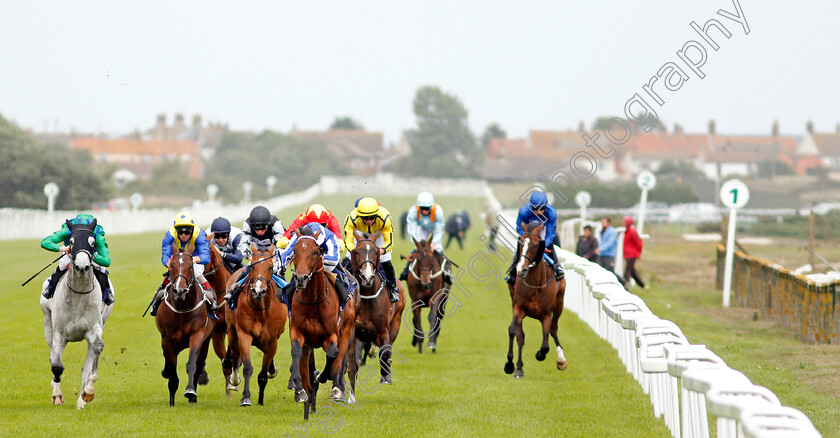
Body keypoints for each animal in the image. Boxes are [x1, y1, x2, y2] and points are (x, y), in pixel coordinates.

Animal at [157, 248, 210, 406]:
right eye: (172, 266)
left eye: (191, 266)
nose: (180, 291)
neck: (182, 306)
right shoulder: (167, 340)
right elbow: (172, 369)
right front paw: (171, 401)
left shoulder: (197, 334)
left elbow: (192, 364)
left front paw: (190, 391)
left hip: (206, 342)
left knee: (199, 365)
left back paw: (193, 397)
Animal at [223, 243, 288, 408]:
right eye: (252, 266)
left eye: (271, 267)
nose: (258, 291)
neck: (261, 310)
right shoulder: (244, 334)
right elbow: (247, 367)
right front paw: (246, 398)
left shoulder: (272, 341)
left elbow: (263, 375)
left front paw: (260, 400)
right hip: (232, 331)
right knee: (234, 354)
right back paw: (232, 377)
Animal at [288, 233, 356, 420]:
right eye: (295, 251)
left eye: (314, 252)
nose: (301, 278)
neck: (313, 301)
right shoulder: (298, 333)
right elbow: (296, 352)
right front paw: (300, 392)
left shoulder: (331, 335)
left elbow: (332, 355)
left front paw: (321, 376)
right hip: (309, 347)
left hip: (347, 331)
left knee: (339, 359)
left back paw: (336, 389)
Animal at [344, 229, 404, 394]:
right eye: (357, 252)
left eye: (376, 253)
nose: (367, 277)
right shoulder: (354, 333)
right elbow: (353, 365)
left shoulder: (383, 330)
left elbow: (384, 353)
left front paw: (385, 374)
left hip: (396, 323)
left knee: (388, 349)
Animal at [502, 221, 568, 378]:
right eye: (520, 241)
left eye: (537, 244)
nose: (521, 269)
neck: (534, 284)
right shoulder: (518, 308)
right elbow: (513, 331)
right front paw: (509, 365)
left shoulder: (546, 314)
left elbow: (545, 345)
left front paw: (540, 354)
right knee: (521, 336)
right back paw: (519, 368)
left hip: (559, 304)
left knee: (554, 329)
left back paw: (561, 360)